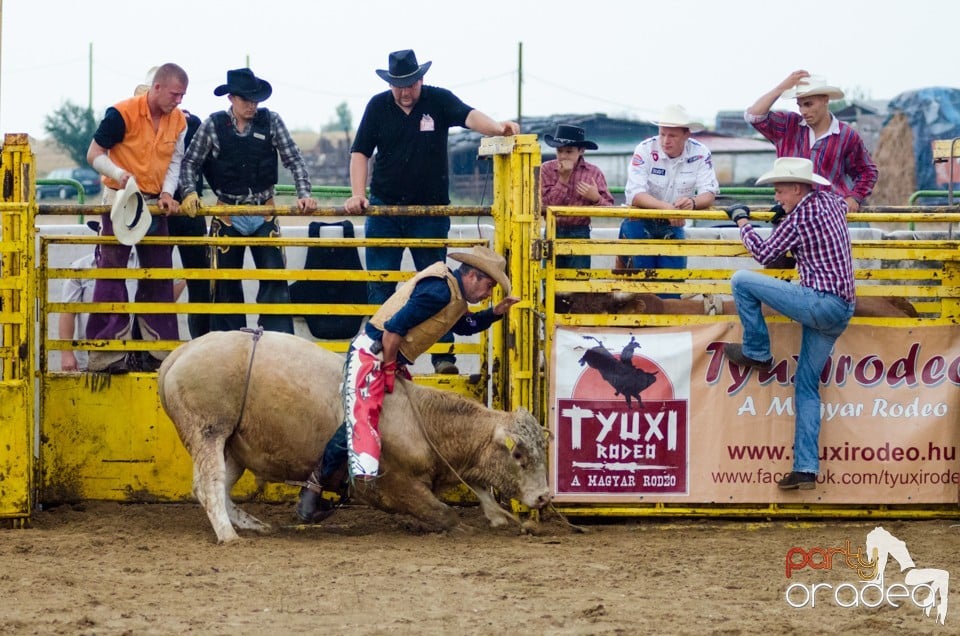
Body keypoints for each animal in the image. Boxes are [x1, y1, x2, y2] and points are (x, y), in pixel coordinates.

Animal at [156, 330, 548, 544]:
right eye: (519, 455)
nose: (544, 497)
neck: (422, 419)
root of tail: (179, 354)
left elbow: (478, 485)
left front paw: (502, 516)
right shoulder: (390, 485)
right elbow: (443, 513)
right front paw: (462, 526)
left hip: (233, 444)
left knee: (218, 486)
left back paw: (254, 525)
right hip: (208, 430)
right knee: (209, 484)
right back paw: (228, 535)